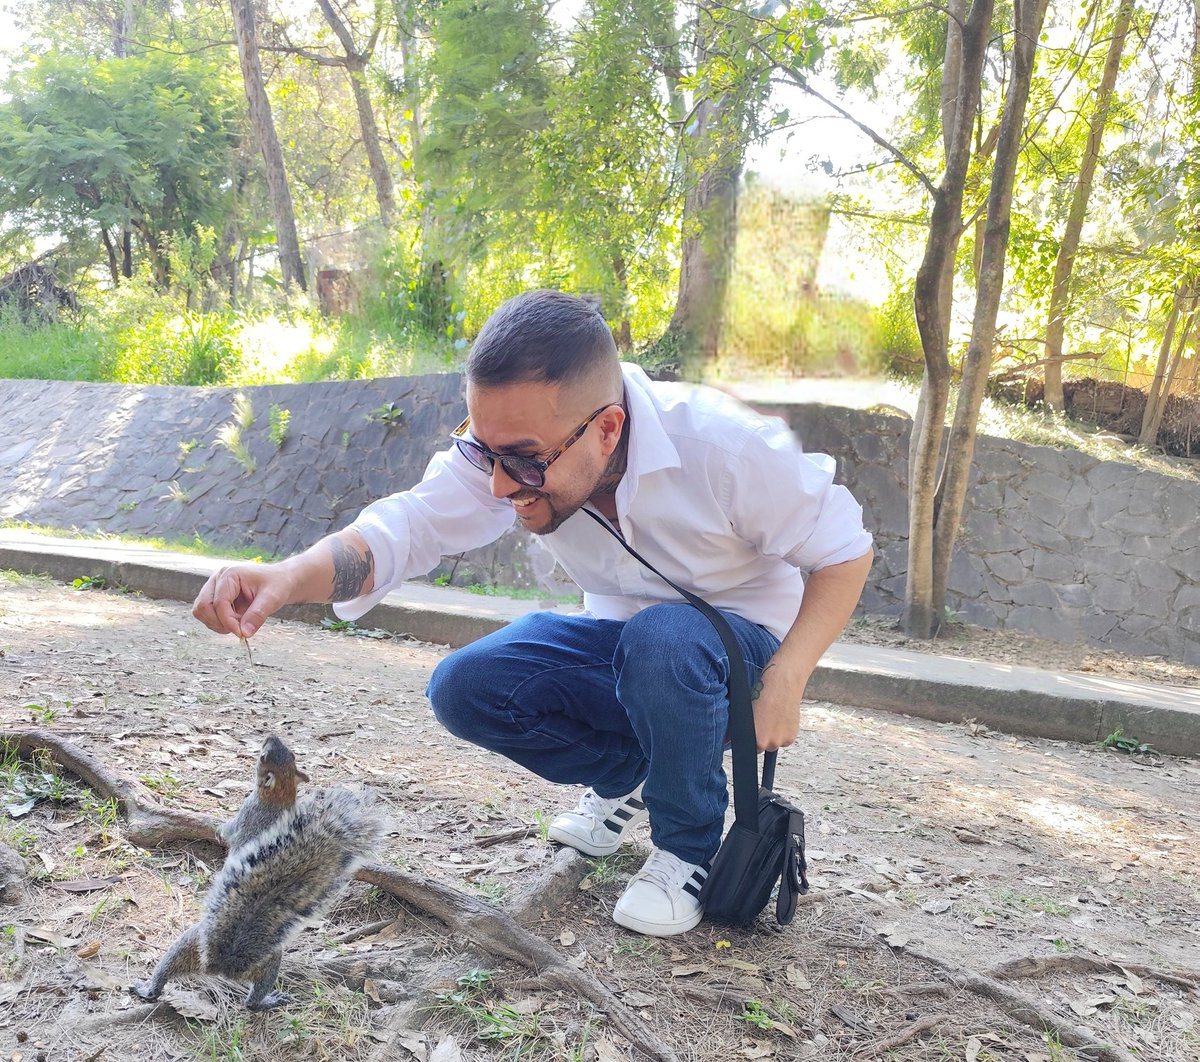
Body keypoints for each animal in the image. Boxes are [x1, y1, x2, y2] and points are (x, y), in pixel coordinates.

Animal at [131, 735, 381, 1011]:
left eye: (263, 757)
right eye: (292, 754)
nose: (271, 737)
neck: (279, 796)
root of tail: (223, 966)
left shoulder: (246, 812)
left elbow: (228, 831)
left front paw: (217, 826)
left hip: (202, 945)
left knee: (247, 999)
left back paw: (262, 1001)